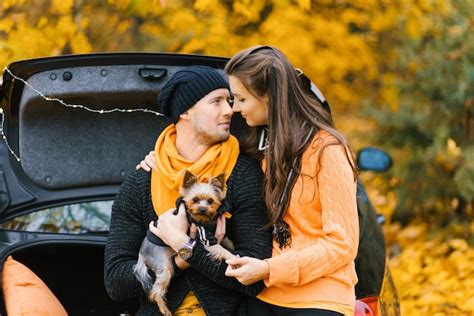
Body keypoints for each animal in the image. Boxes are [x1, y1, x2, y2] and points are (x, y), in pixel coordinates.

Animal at [133, 172, 237, 314]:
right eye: (195, 200)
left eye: (210, 201)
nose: (202, 209)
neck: (203, 220)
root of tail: (141, 253)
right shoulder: (206, 238)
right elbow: (222, 250)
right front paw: (234, 258)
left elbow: (226, 240)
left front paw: (232, 247)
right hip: (165, 267)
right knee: (155, 292)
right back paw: (165, 310)